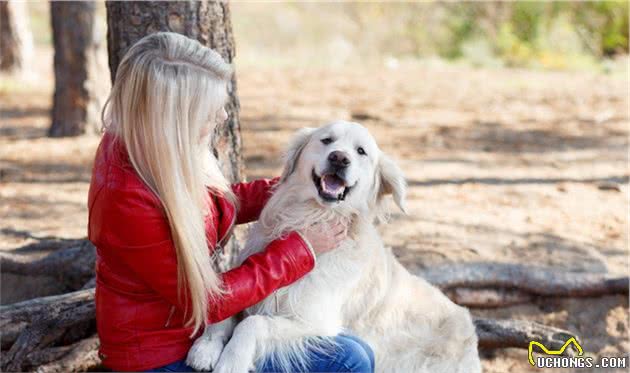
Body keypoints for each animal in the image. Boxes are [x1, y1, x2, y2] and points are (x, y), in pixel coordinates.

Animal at [185, 120, 482, 372]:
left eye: (361, 151)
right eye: (326, 140)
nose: (339, 158)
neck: (310, 216)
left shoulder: (316, 322)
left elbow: (253, 323)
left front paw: (231, 361)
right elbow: (226, 310)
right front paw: (206, 347)